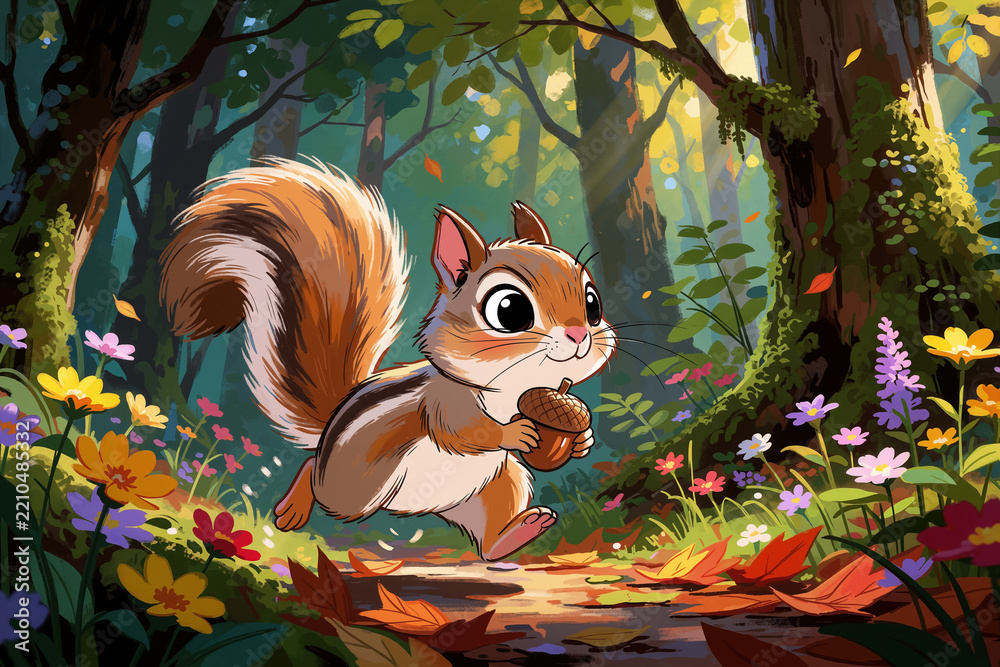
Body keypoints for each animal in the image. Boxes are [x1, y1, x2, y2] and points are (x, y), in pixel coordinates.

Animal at [159, 158, 616, 561]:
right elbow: (464, 431)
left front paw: (582, 442)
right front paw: (514, 433)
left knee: (488, 540)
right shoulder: (445, 403)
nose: (579, 334)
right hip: (355, 488)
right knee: (315, 474)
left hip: (500, 483)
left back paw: (517, 534)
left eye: (593, 303)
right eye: (510, 310)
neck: (514, 388)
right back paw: (292, 507)